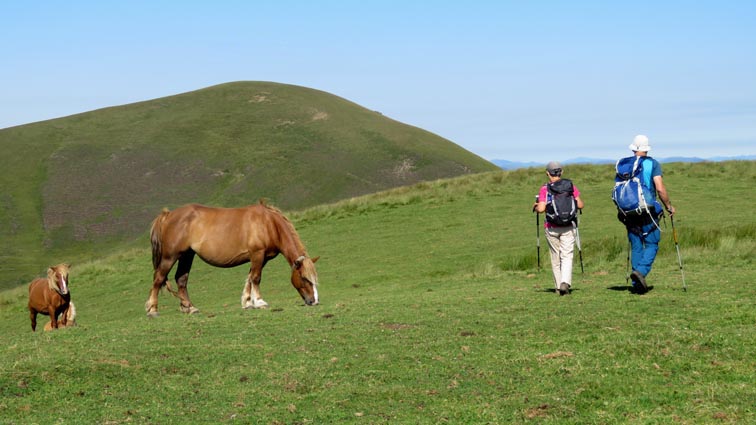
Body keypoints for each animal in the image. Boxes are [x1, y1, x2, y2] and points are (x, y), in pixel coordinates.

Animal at [146, 200, 320, 316]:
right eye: (304, 278)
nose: (314, 301)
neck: (269, 223)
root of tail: (168, 215)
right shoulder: (257, 254)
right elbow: (256, 278)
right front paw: (259, 302)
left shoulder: (260, 258)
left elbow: (250, 278)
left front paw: (248, 302)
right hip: (170, 256)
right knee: (158, 278)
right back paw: (152, 309)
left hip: (187, 255)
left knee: (181, 279)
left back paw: (189, 307)